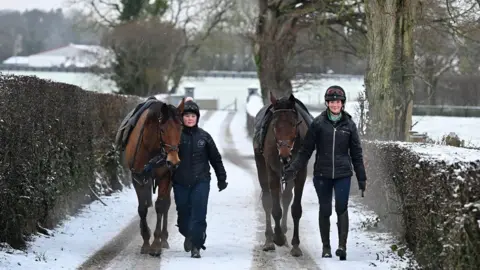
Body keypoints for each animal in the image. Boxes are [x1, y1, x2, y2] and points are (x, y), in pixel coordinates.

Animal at [123, 98, 185, 256]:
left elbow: (161, 206)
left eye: (180, 128)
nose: (173, 161)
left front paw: (156, 243)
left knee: (166, 204)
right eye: (162, 129)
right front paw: (146, 241)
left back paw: (164, 239)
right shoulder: (139, 177)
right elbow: (142, 208)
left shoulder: (165, 176)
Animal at [253, 91, 310, 258]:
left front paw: (296, 245)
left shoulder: (300, 171)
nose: (285, 155)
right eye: (274, 125)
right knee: (267, 200)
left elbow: (295, 208)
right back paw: (269, 239)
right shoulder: (272, 169)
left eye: (294, 124)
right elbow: (275, 208)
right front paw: (277, 237)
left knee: (286, 197)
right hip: (261, 165)